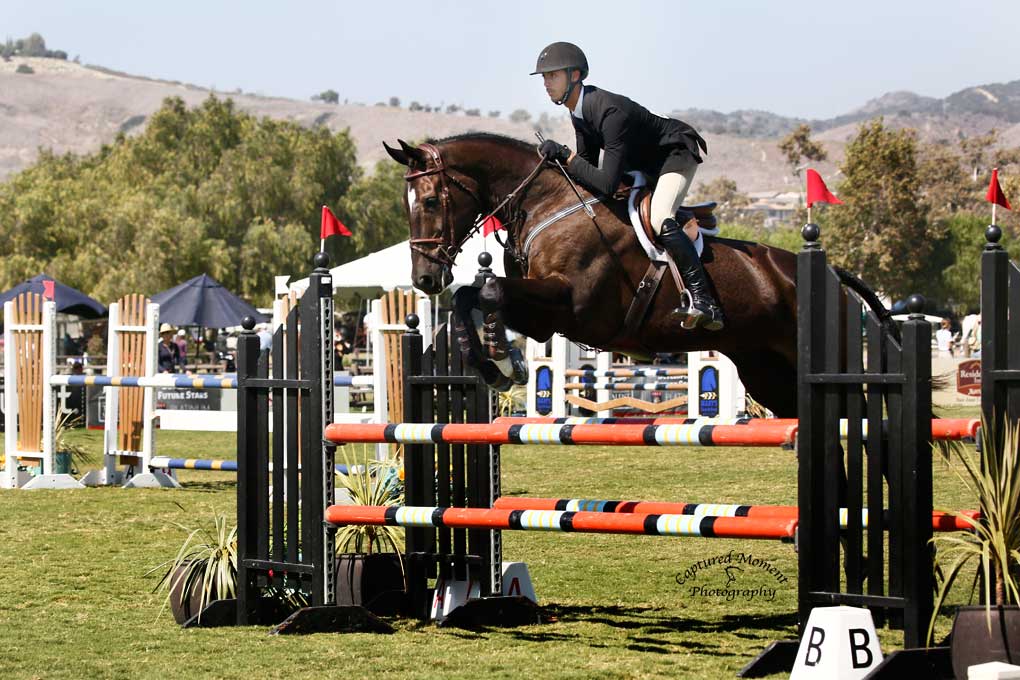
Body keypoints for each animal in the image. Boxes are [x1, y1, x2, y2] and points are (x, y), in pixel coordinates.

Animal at [383, 132, 885, 417]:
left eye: (431, 201)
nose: (424, 280)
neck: (547, 203)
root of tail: (833, 276)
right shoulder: (543, 317)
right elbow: (471, 295)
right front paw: (492, 363)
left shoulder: (571, 304)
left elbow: (487, 291)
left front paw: (505, 361)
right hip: (767, 373)